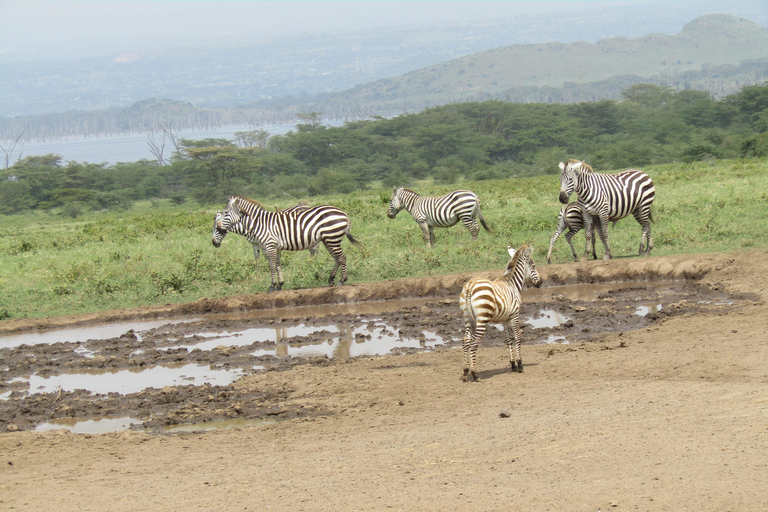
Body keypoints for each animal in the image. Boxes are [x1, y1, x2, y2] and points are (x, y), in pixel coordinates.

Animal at [212, 196, 362, 292]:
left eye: (226, 212)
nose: (214, 243)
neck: (258, 224)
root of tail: (343, 212)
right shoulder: (273, 247)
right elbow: (278, 265)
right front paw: (280, 285)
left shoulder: (269, 246)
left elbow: (271, 266)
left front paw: (272, 286)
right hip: (328, 239)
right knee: (337, 258)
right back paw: (331, 279)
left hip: (332, 237)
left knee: (341, 257)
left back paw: (341, 280)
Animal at [460, 244, 544, 380]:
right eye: (534, 266)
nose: (540, 282)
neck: (513, 284)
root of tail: (470, 286)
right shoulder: (515, 315)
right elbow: (517, 337)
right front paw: (520, 364)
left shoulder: (505, 319)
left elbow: (509, 339)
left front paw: (513, 364)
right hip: (482, 319)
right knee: (474, 343)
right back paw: (475, 374)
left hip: (467, 318)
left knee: (466, 341)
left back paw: (466, 371)